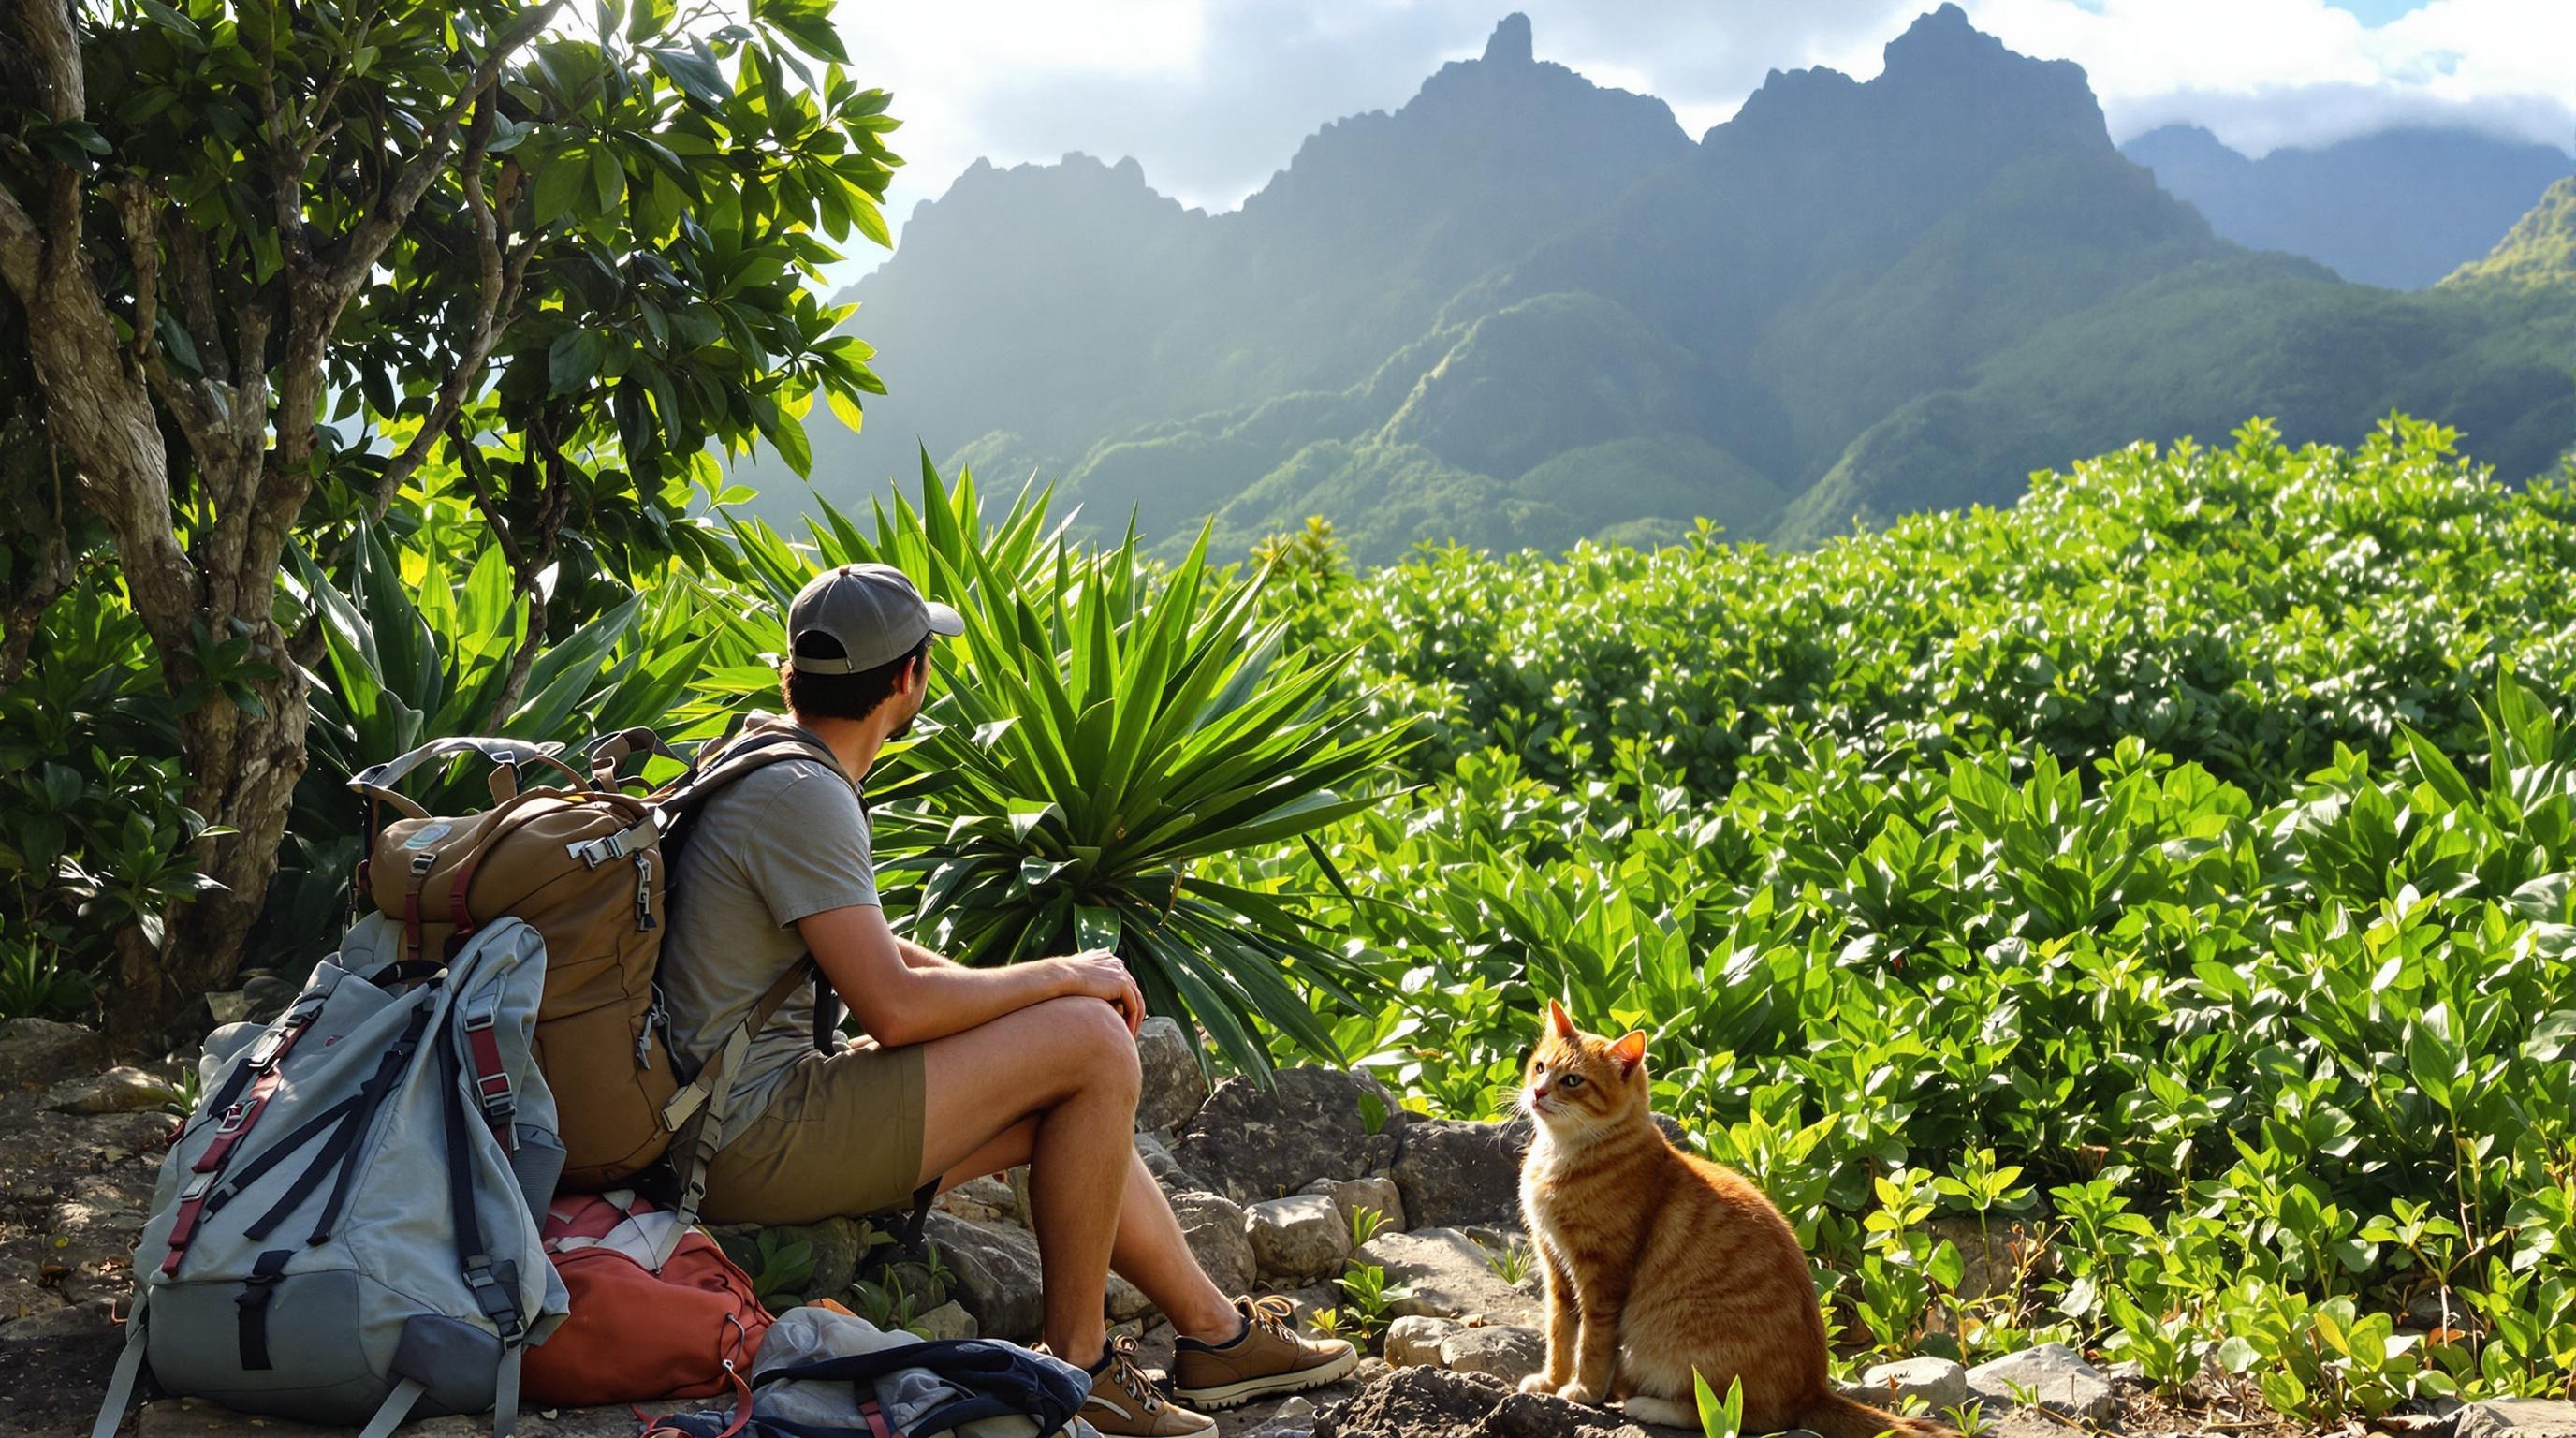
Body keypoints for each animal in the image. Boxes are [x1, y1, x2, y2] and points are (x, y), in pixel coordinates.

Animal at [1504, 1005, 1947, 1438]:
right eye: (1540, 1067)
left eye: (1572, 1080)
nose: (1538, 1093)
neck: (1561, 1156)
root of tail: (1813, 1392)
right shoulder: (1555, 1267)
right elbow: (1560, 1334)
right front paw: (1551, 1382)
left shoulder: (1602, 1277)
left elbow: (1593, 1343)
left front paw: (1583, 1390)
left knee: (1731, 1415)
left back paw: (1648, 1404)